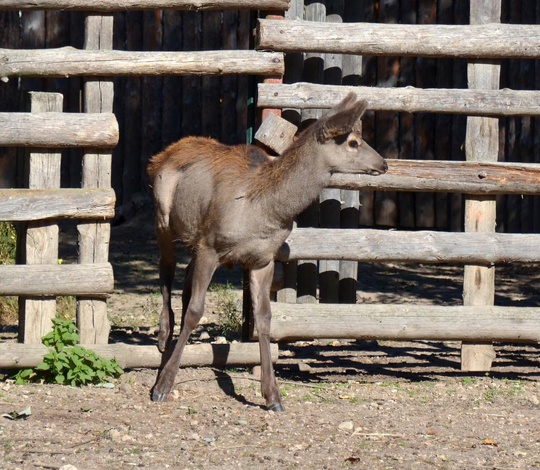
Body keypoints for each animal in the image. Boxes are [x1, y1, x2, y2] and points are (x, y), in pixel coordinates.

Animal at [146, 93, 386, 410]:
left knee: (183, 284)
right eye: (353, 142)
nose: (383, 163)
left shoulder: (262, 259)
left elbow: (264, 317)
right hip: (163, 218)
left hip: (194, 239)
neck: (265, 212)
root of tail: (160, 156)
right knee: (166, 269)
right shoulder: (211, 246)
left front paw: (272, 395)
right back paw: (163, 335)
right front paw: (162, 386)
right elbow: (197, 311)